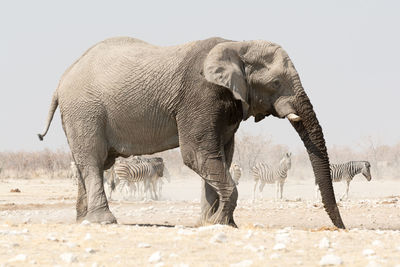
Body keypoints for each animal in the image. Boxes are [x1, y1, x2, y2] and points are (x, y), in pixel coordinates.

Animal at [39, 35, 346, 228]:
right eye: (275, 83)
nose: (342, 228)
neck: (237, 45)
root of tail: (61, 80)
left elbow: (221, 156)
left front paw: (212, 223)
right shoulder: (200, 95)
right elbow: (197, 155)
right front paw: (220, 223)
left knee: (90, 163)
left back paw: (83, 220)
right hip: (85, 110)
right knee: (92, 160)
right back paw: (103, 221)